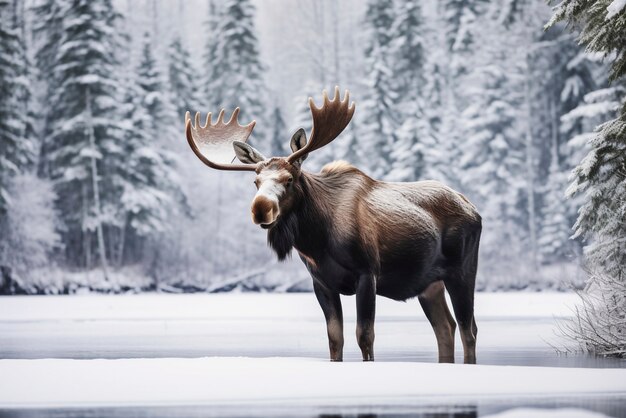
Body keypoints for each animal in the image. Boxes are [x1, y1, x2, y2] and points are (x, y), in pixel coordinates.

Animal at [183, 87, 480, 362]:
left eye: (289, 179)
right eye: (256, 182)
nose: (260, 208)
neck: (317, 239)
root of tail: (474, 209)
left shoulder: (367, 273)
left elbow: (365, 336)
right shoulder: (322, 283)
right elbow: (335, 339)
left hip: (462, 271)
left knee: (469, 329)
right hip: (430, 284)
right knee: (445, 327)